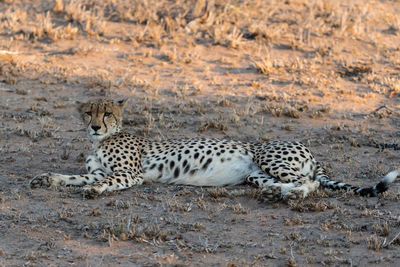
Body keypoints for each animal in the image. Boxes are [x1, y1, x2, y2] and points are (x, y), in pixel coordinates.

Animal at [29, 99, 398, 200]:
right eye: (89, 112)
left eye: (107, 113)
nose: (95, 126)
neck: (99, 141)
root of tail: (309, 149)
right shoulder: (97, 169)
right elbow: (72, 177)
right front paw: (46, 179)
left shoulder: (129, 174)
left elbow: (103, 181)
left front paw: (93, 191)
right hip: (255, 176)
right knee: (290, 183)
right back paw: (275, 193)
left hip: (268, 157)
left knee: (311, 184)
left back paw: (289, 195)